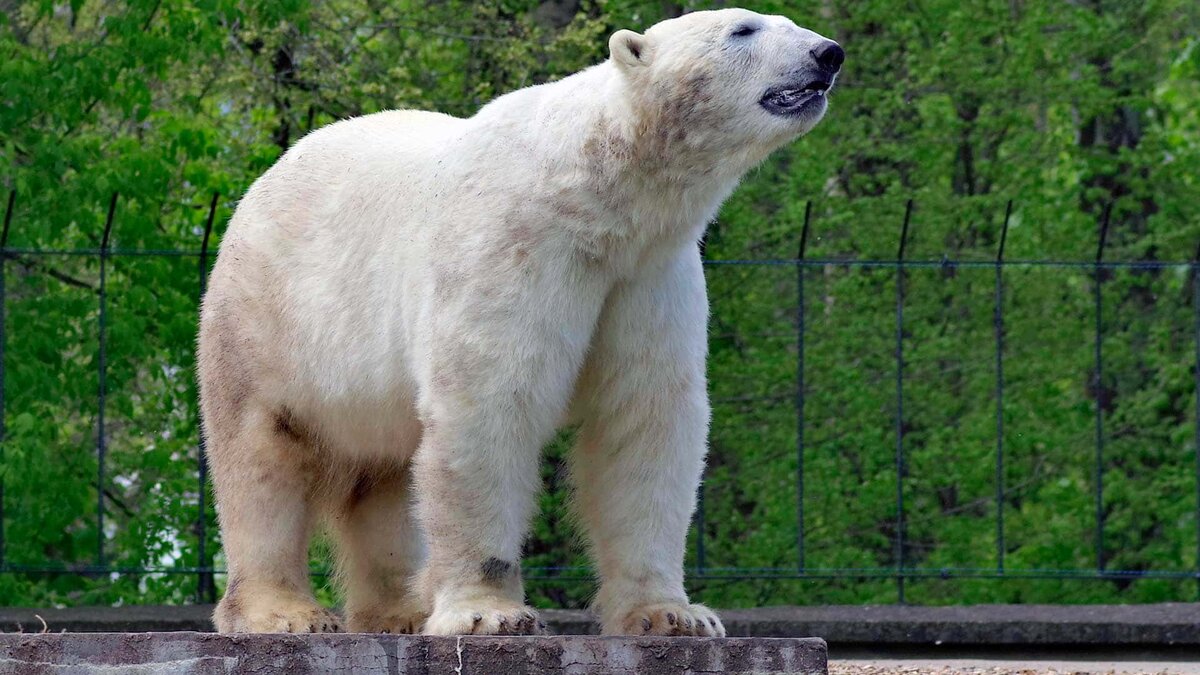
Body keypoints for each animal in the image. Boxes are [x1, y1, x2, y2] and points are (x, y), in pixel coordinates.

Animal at [196, 7, 840, 634]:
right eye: (743, 29)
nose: (828, 53)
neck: (597, 197)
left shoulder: (647, 276)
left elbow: (644, 417)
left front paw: (672, 614)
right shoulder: (513, 249)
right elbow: (489, 406)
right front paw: (489, 612)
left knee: (384, 477)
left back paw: (398, 614)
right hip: (266, 322)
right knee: (262, 457)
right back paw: (284, 612)